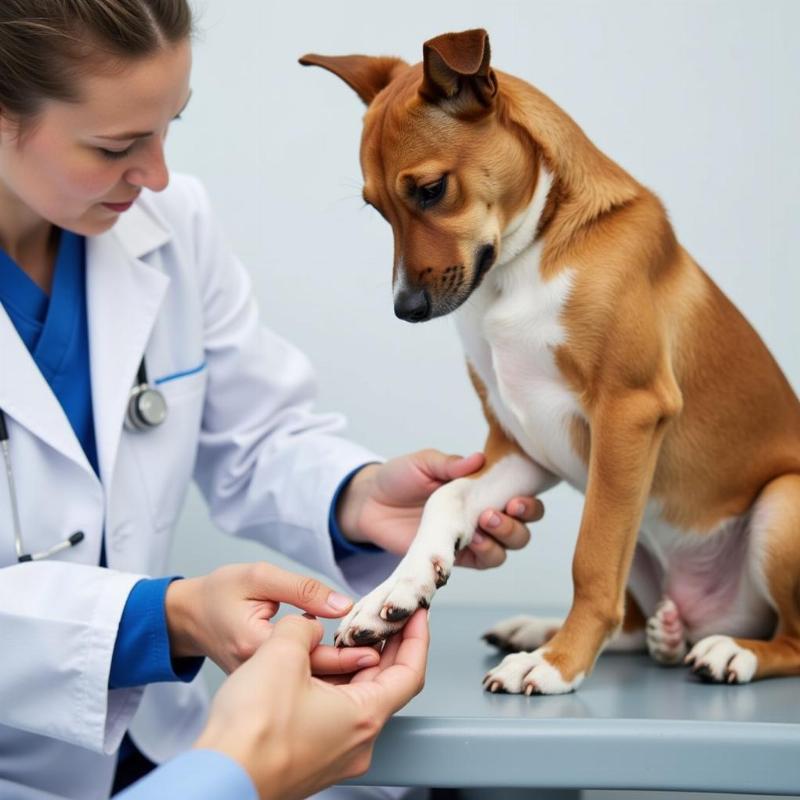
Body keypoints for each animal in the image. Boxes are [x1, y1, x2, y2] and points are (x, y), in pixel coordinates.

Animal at [300, 29, 800, 692]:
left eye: (431, 190)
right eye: (378, 209)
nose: (406, 309)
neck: (520, 266)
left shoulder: (628, 413)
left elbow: (591, 561)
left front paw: (558, 665)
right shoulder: (521, 443)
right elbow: (444, 498)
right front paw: (395, 593)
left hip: (781, 502)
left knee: (788, 638)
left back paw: (731, 652)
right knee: (638, 627)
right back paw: (566, 630)